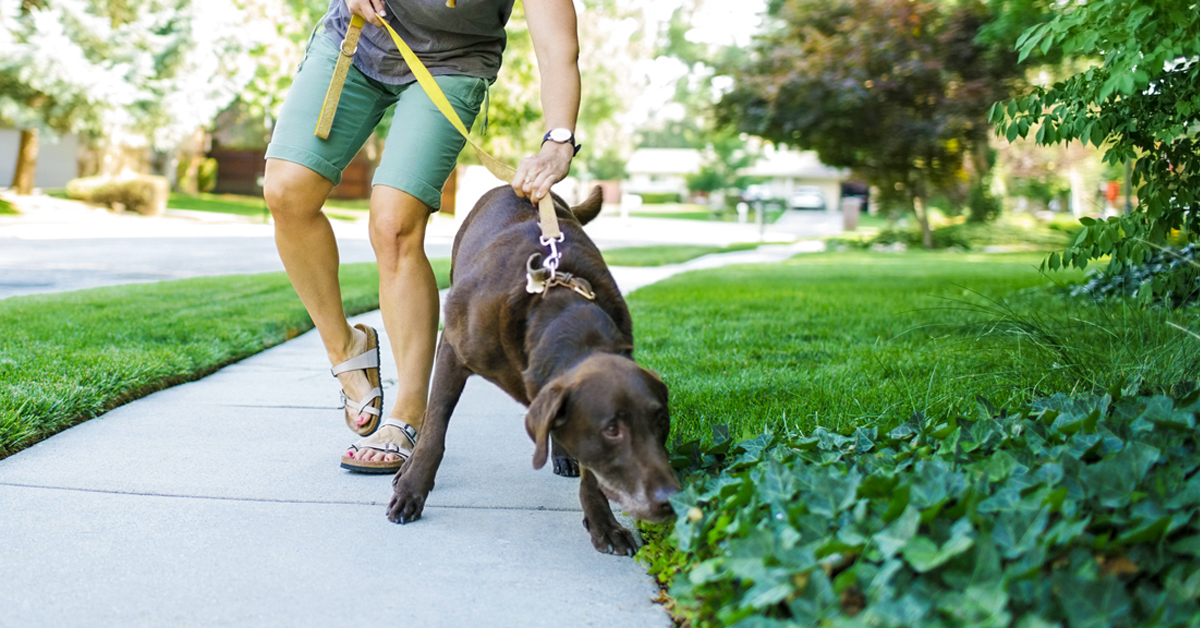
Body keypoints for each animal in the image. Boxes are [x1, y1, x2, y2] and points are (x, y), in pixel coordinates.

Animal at [388, 186, 681, 554]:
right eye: (612, 430)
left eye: (662, 421)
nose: (673, 499)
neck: (558, 313)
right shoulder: (452, 352)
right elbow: (434, 430)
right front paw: (412, 489)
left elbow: (591, 475)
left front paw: (604, 525)